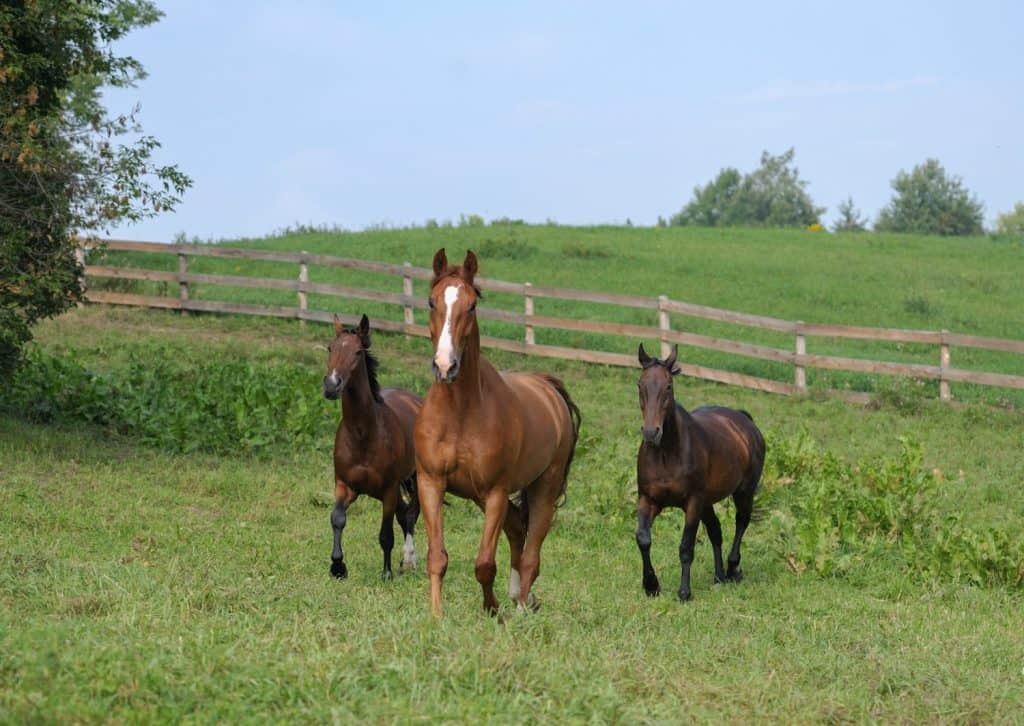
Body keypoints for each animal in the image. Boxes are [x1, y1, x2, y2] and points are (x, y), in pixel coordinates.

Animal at [322, 314, 423, 581]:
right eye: (330, 348)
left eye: (357, 352)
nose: (331, 385)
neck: (363, 435)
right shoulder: (344, 485)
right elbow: (337, 519)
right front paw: (338, 566)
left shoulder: (388, 490)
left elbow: (386, 534)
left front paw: (386, 573)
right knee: (404, 514)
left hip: (417, 477)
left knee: (411, 513)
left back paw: (408, 560)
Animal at [414, 249, 581, 617]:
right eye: (431, 301)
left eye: (472, 305)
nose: (445, 366)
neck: (459, 413)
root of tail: (547, 388)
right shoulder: (431, 482)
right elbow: (437, 557)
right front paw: (436, 615)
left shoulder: (495, 492)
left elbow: (484, 564)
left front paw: (492, 610)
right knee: (518, 532)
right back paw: (520, 596)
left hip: (543, 489)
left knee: (531, 553)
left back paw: (520, 607)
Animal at [635, 343, 765, 602]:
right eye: (640, 385)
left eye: (668, 386)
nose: (651, 433)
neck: (666, 454)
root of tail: (744, 420)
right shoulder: (649, 499)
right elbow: (643, 538)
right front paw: (651, 585)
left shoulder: (693, 503)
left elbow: (686, 546)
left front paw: (684, 592)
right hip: (708, 502)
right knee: (716, 531)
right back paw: (719, 576)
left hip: (743, 492)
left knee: (741, 521)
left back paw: (733, 569)